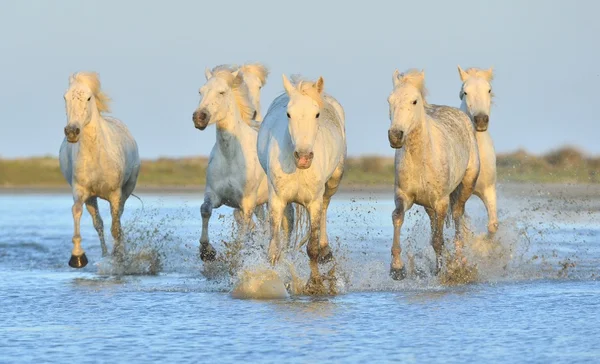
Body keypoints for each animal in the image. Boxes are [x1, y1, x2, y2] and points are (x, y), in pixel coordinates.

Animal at [60, 72, 142, 268]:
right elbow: (77, 212)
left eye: (89, 98)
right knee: (99, 223)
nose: (72, 131)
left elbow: (116, 227)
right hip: (92, 198)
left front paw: (119, 256)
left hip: (125, 191)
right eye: (65, 97)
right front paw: (77, 257)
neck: (96, 156)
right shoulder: (80, 191)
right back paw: (105, 254)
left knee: (117, 220)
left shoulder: (115, 194)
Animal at [192, 64, 292, 260]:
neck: (231, 156)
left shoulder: (246, 203)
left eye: (222, 92)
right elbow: (205, 210)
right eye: (200, 91)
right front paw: (207, 251)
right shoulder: (214, 195)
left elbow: (244, 231)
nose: (199, 117)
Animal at [258, 74, 346, 290]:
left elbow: (312, 248)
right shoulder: (277, 200)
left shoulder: (313, 203)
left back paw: (326, 250)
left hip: (332, 184)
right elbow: (274, 249)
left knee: (325, 209)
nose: (304, 157)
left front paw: (315, 284)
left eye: (317, 114)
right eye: (289, 114)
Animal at [390, 69, 478, 278]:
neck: (421, 158)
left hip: (465, 187)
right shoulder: (403, 196)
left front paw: (443, 272)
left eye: (414, 101)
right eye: (390, 100)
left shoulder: (441, 201)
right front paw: (397, 268)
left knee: (457, 217)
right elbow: (397, 217)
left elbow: (439, 240)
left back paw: (460, 261)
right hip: (428, 205)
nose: (395, 136)